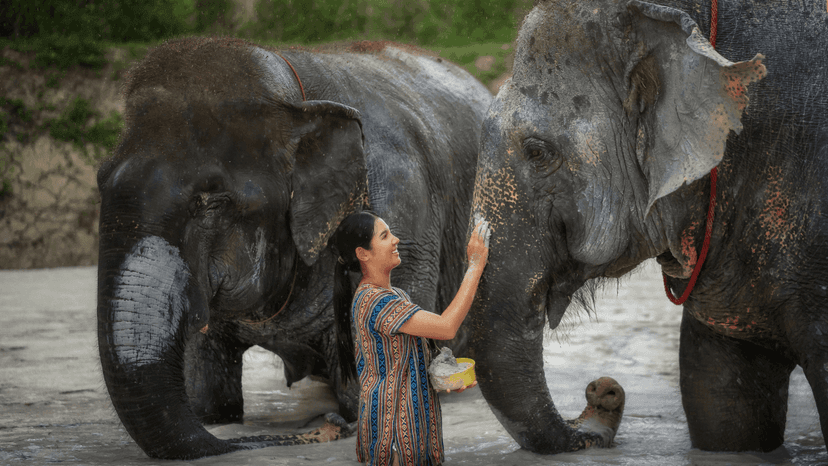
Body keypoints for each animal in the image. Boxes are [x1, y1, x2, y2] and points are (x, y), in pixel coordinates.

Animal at [95, 37, 492, 460]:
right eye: (101, 180)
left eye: (212, 200)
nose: (328, 428)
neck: (291, 96)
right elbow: (208, 399)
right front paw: (216, 415)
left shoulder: (404, 212)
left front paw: (348, 415)